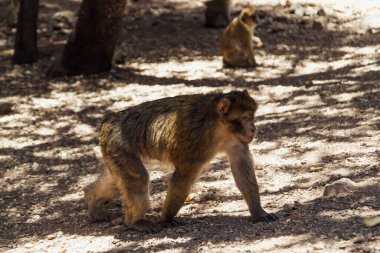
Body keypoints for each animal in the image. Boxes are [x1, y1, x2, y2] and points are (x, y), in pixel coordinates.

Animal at [84, 90, 278, 232]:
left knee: (115, 179)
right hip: (118, 145)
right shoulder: (193, 144)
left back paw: (92, 200)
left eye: (251, 116)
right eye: (245, 117)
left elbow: (241, 168)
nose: (253, 128)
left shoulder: (236, 141)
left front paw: (259, 212)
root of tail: (108, 121)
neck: (217, 125)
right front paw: (167, 217)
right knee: (138, 178)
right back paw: (134, 222)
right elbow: (182, 179)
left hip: (113, 150)